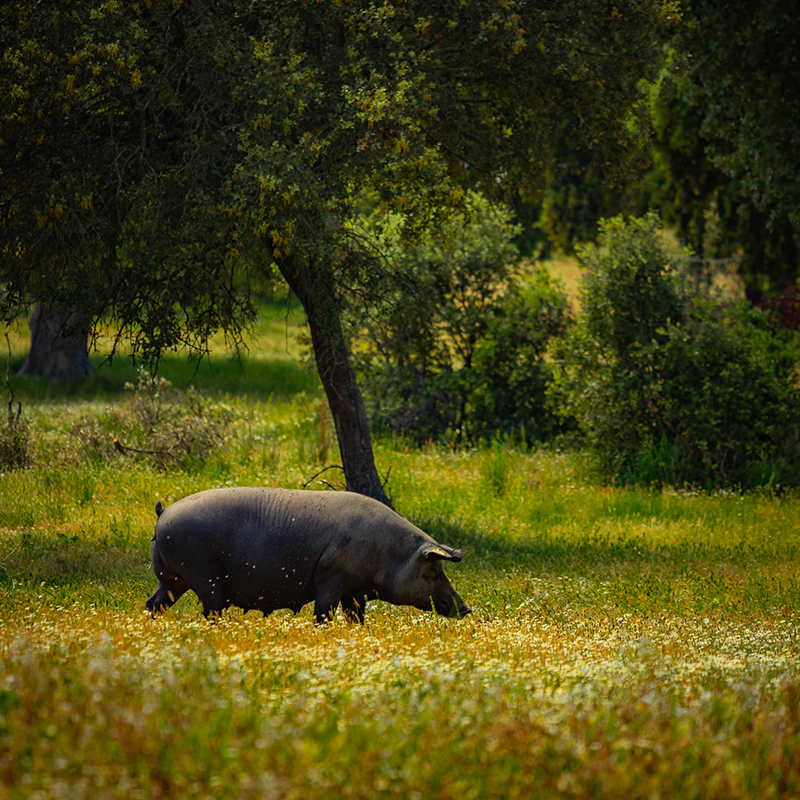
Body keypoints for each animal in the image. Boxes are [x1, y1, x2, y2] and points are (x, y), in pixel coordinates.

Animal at [146, 487, 471, 624]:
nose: (466, 609)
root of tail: (163, 512)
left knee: (154, 603)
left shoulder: (355, 592)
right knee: (210, 609)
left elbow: (356, 617)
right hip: (203, 572)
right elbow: (323, 613)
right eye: (432, 571)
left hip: (172, 578)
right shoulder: (331, 580)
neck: (388, 553)